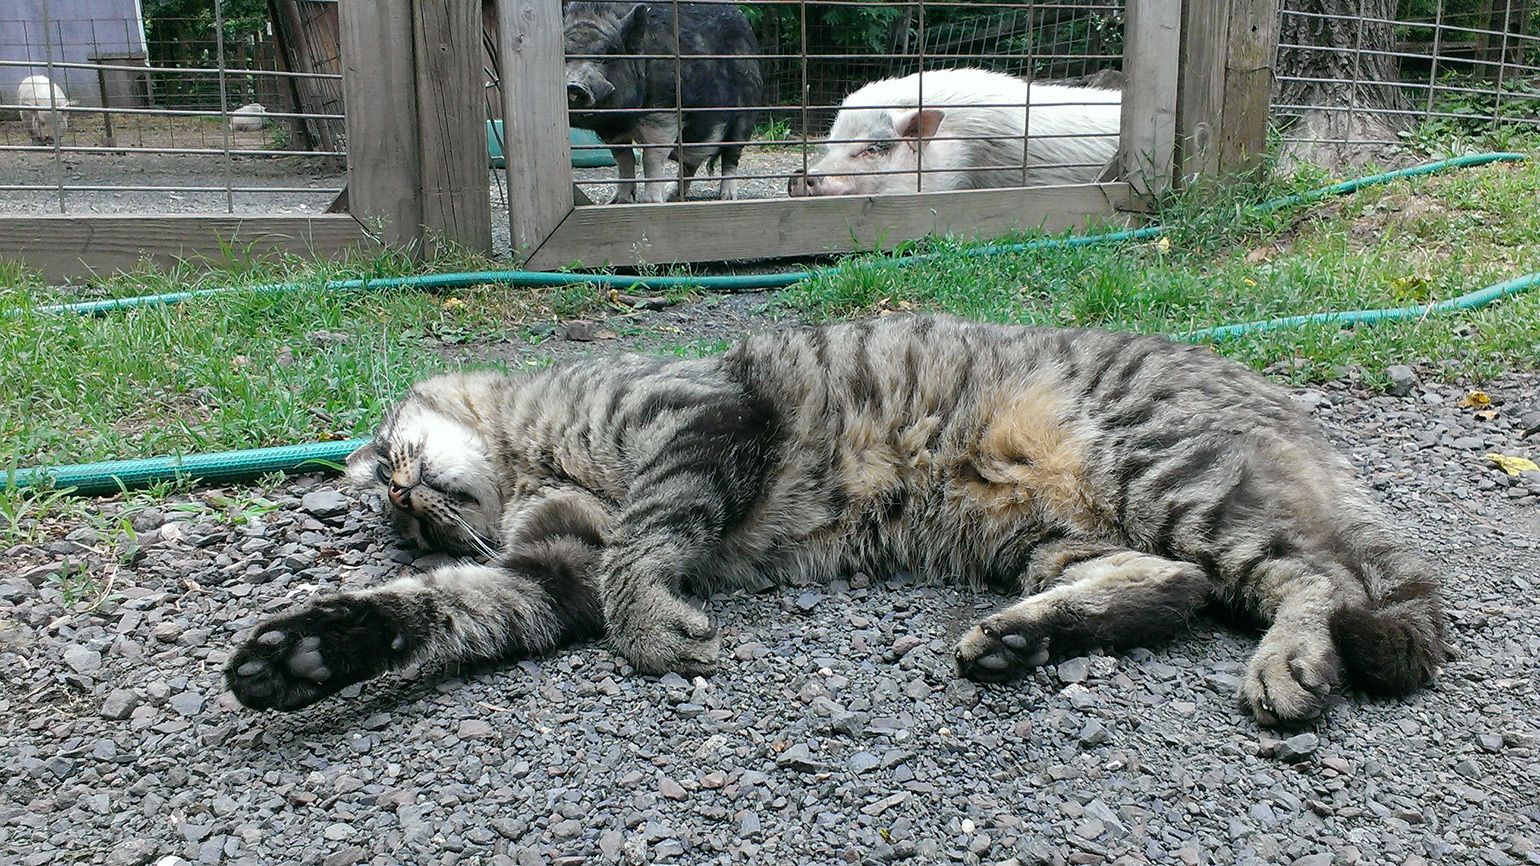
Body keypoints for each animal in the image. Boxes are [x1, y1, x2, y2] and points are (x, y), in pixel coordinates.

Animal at [223, 311, 1447, 721]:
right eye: (402, 526)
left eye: (393, 466)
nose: (402, 496)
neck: (533, 456)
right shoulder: (543, 569)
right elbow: (441, 607)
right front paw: (310, 652)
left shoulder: (702, 418)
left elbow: (644, 540)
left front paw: (650, 626)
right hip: (1050, 536)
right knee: (1174, 587)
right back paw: (1021, 639)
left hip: (1168, 475)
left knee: (1316, 581)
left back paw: (1293, 660)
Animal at [563, 2, 760, 203]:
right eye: (565, 56)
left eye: (607, 55)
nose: (574, 86)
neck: (626, 118)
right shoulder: (613, 129)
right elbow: (623, 159)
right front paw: (617, 202)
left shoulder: (663, 113)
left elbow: (651, 158)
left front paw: (652, 202)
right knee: (691, 160)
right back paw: (671, 195)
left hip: (746, 113)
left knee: (731, 156)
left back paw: (727, 197)